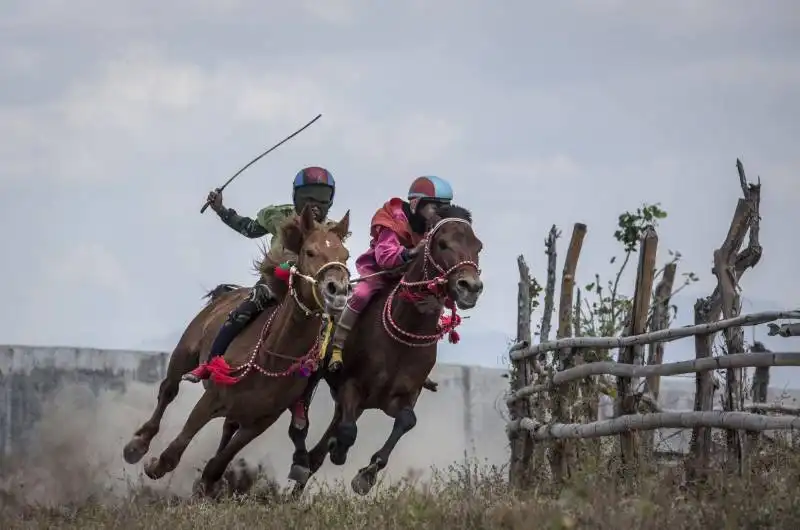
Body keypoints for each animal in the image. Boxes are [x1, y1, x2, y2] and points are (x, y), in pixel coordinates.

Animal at [122, 204, 354, 492]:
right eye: (310, 251)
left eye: (345, 256)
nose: (338, 290)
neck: (271, 356)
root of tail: (225, 294)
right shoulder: (212, 398)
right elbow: (176, 449)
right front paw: (154, 465)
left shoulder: (261, 421)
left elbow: (218, 463)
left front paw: (205, 486)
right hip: (185, 353)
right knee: (168, 390)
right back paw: (137, 444)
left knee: (226, 428)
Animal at [290, 203, 484, 496]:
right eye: (442, 243)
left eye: (478, 246)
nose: (470, 287)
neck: (404, 334)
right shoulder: (352, 385)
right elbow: (348, 431)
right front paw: (340, 450)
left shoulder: (401, 397)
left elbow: (407, 420)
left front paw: (367, 474)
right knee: (305, 427)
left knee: (316, 454)